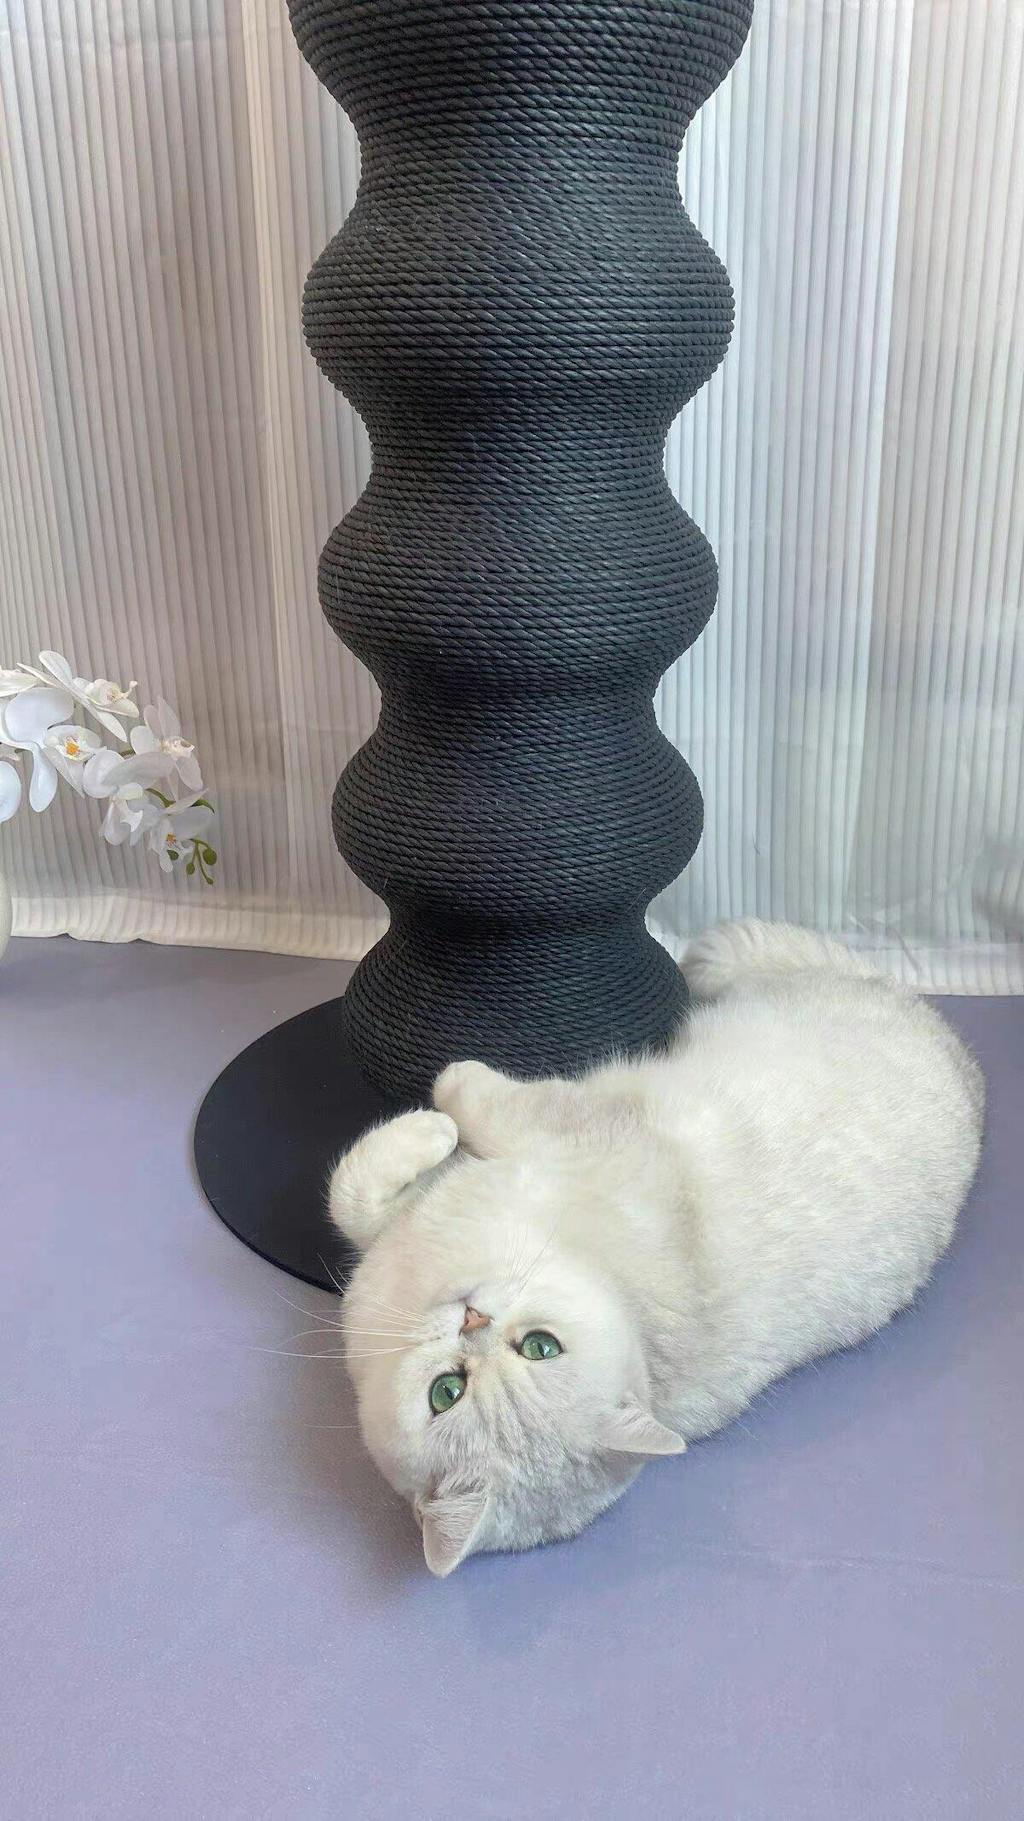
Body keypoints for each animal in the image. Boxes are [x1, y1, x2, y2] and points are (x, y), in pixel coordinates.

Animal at [328, 921, 984, 1576]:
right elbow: (353, 1199)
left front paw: (441, 1102)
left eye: (540, 1347)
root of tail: (966, 1067)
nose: (472, 1320)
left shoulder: (575, 1126)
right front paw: (427, 1134)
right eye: (447, 1392)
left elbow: (444, 1119)